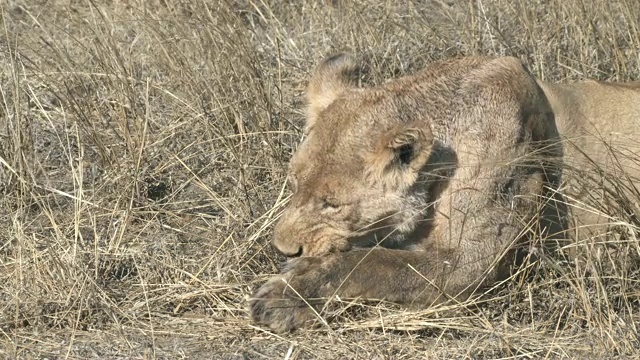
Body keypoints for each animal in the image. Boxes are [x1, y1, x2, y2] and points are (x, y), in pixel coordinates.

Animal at [249, 53, 640, 332]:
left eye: (332, 204)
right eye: (293, 183)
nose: (283, 248)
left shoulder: (472, 263)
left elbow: (370, 263)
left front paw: (287, 296)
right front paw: (296, 268)